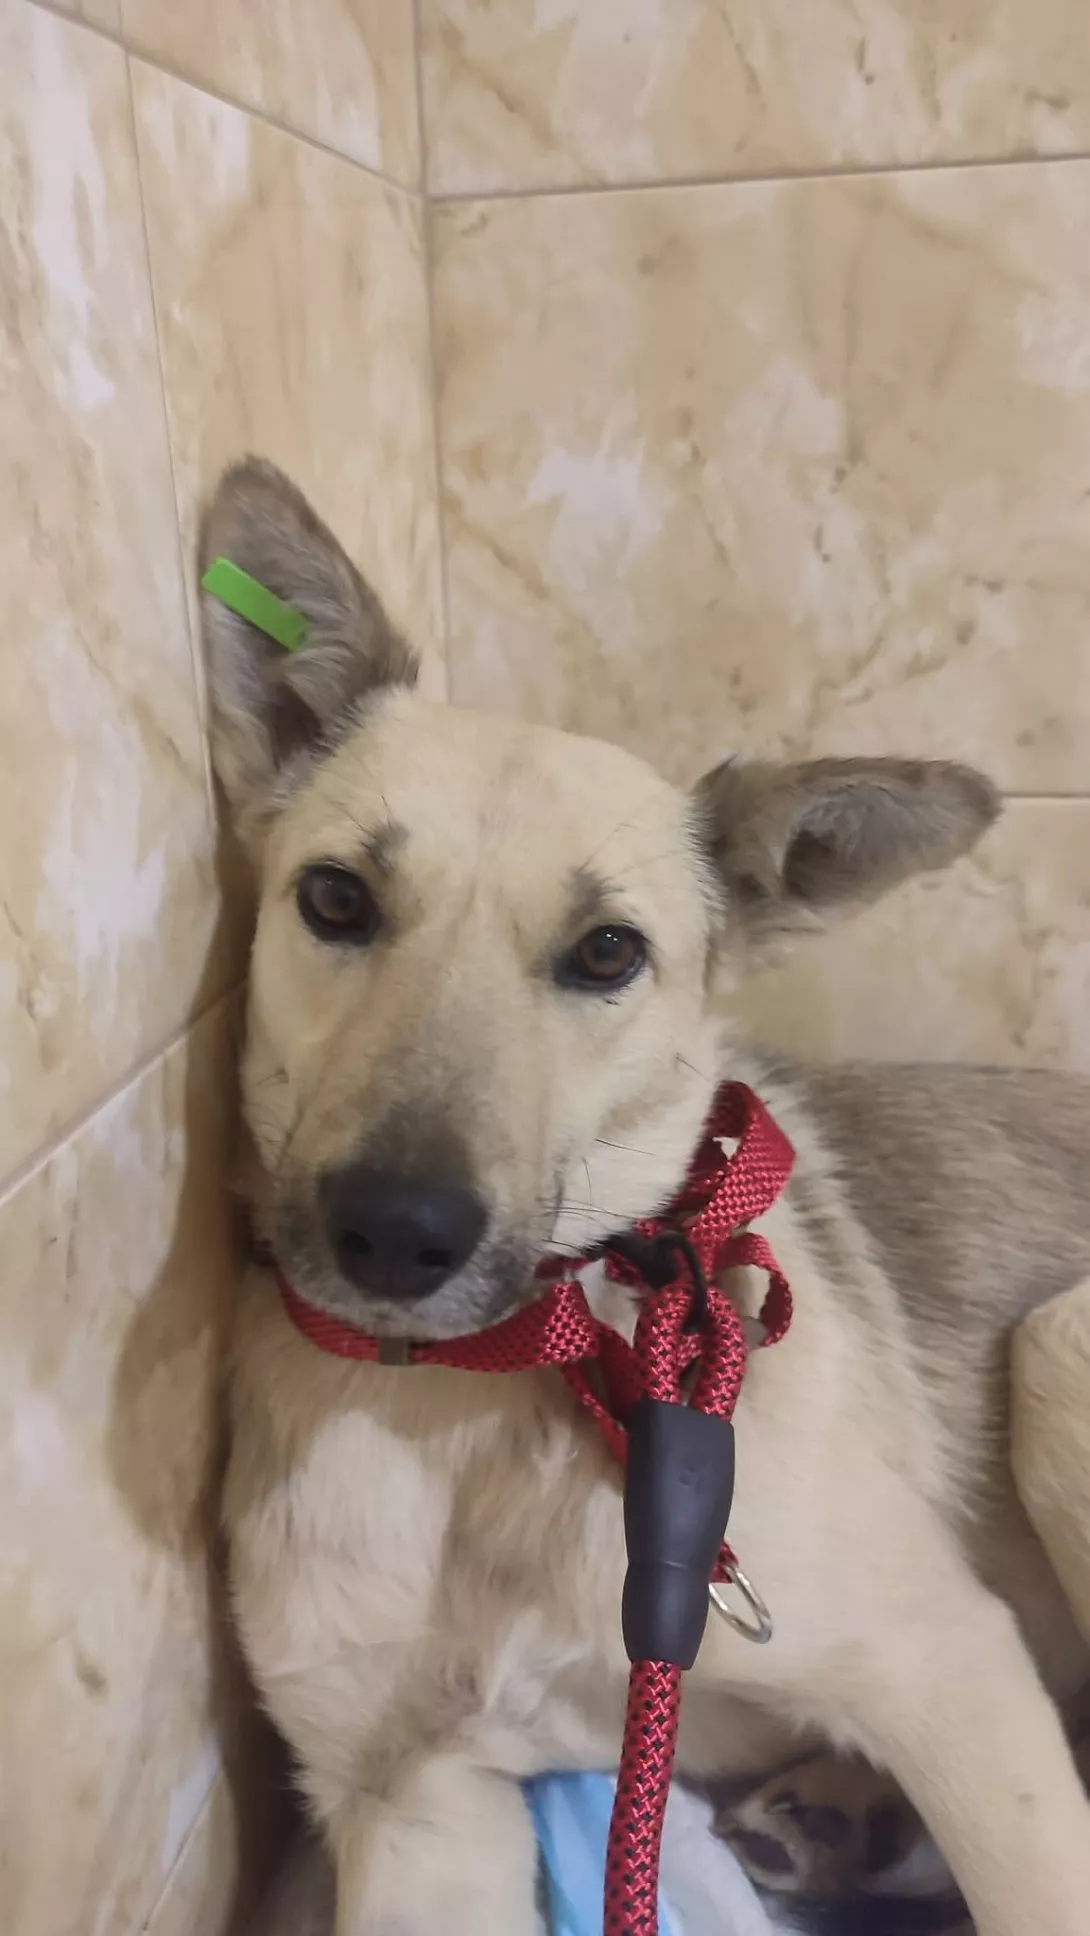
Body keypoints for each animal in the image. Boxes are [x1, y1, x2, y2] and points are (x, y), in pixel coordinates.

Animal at [204, 457, 1090, 1936]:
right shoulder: (410, 1804)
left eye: (607, 951)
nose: (395, 1231)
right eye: (334, 898)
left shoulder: (949, 1673)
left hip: (1053, 1351)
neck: (489, 1401)